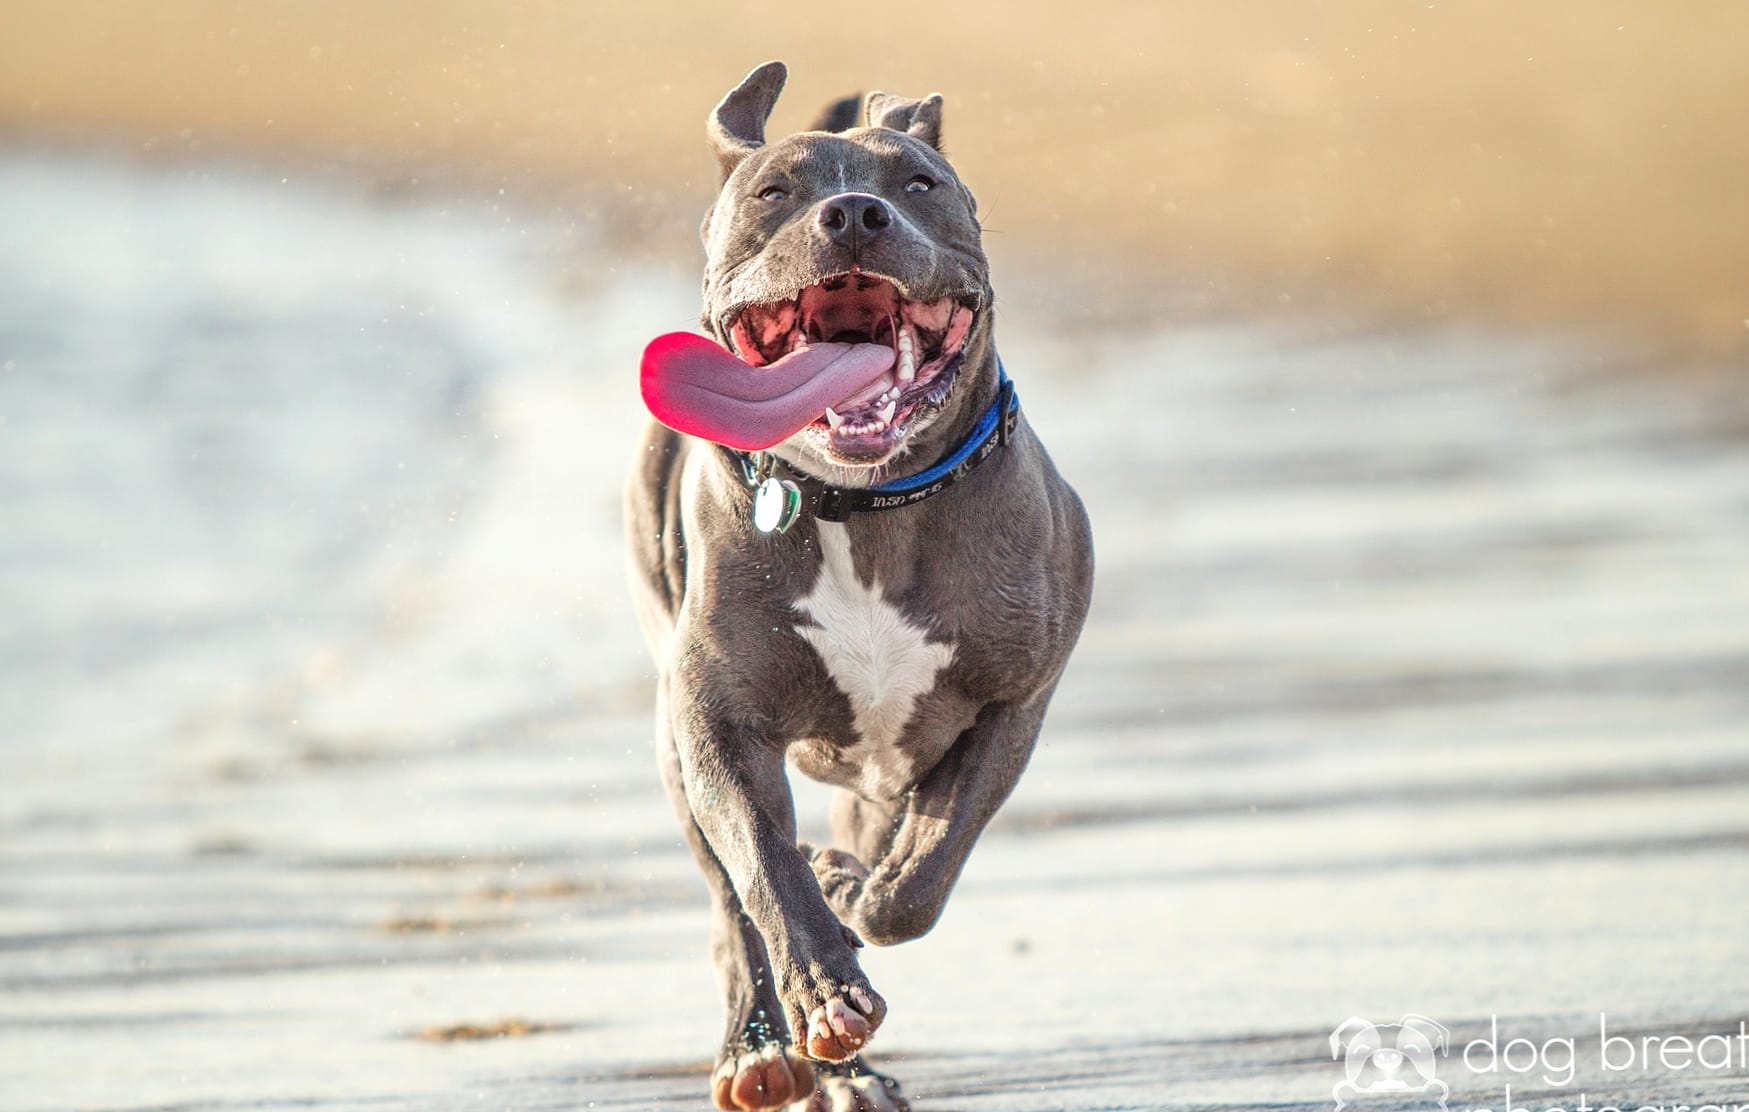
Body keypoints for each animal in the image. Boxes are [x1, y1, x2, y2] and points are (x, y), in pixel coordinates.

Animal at [626, 62, 1091, 1112]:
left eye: (919, 184)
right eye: (773, 193)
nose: (851, 213)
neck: (866, 506)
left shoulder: (1012, 702)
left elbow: (921, 872)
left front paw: (850, 892)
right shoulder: (717, 724)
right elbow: (764, 870)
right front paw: (824, 983)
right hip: (673, 740)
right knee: (730, 906)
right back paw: (767, 1050)